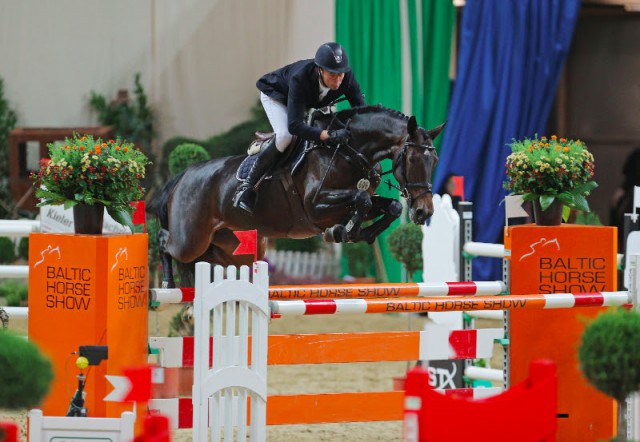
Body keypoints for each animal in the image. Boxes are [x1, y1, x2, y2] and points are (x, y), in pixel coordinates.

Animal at [148, 105, 442, 288]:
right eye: (413, 158)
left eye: (435, 160)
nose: (423, 212)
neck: (348, 150)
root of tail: (183, 176)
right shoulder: (317, 206)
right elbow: (362, 200)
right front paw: (341, 232)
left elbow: (388, 206)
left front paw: (359, 233)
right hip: (190, 239)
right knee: (164, 241)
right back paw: (167, 282)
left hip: (231, 248)